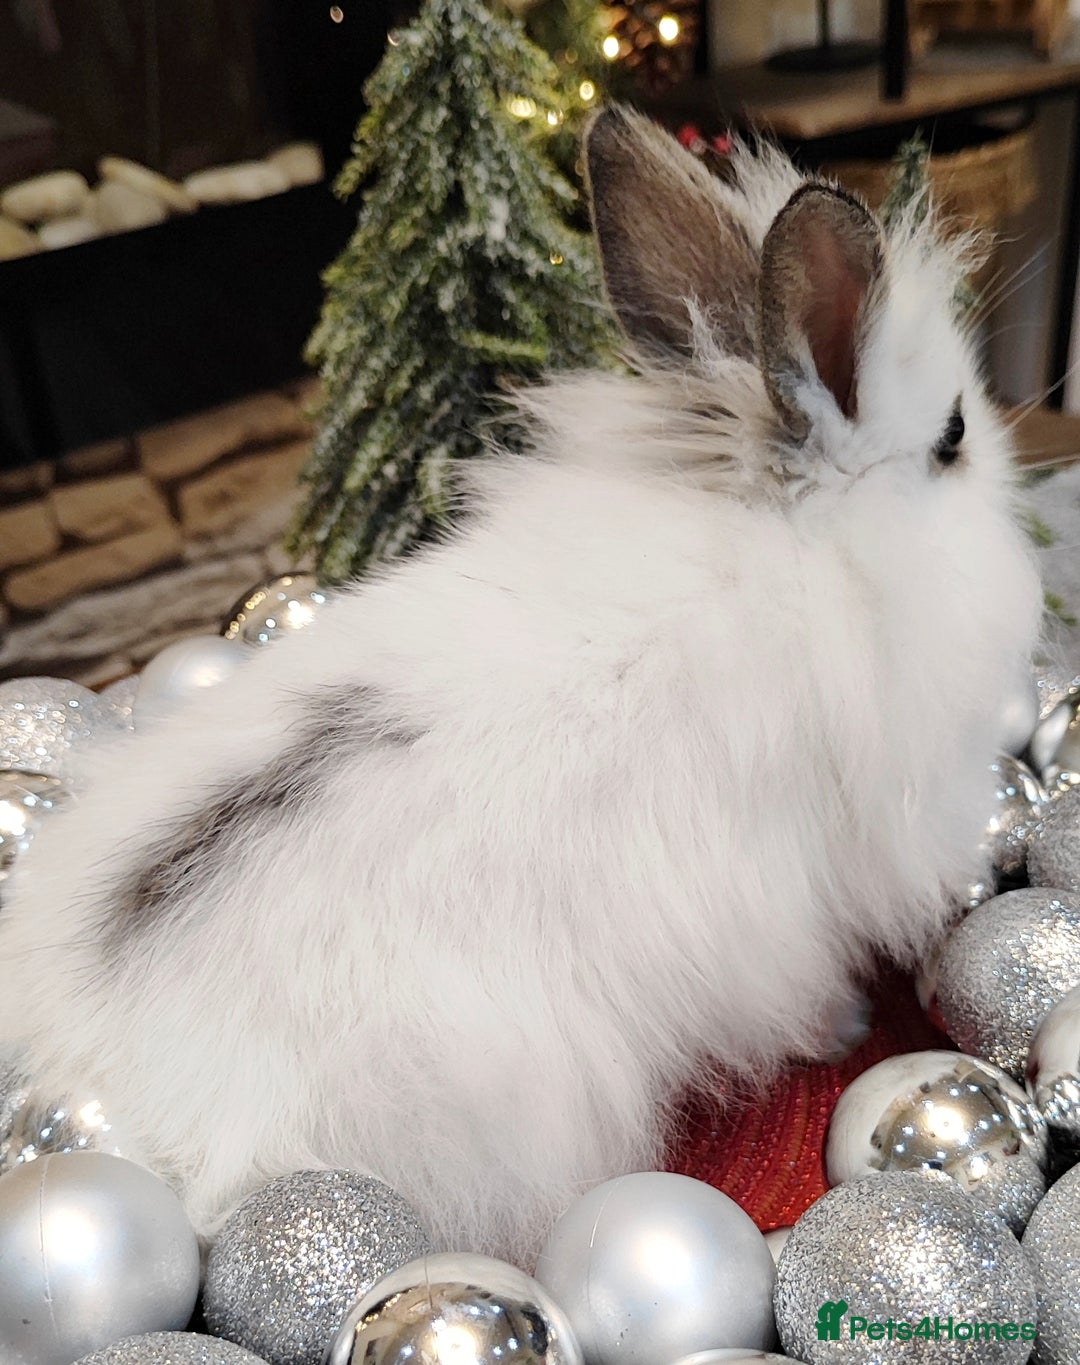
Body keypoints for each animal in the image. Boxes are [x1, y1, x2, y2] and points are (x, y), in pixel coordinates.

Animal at [0, 108, 1043, 1265]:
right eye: (953, 437)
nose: (1019, 488)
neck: (798, 533)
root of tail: (90, 1069)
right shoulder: (800, 902)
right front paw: (847, 1029)